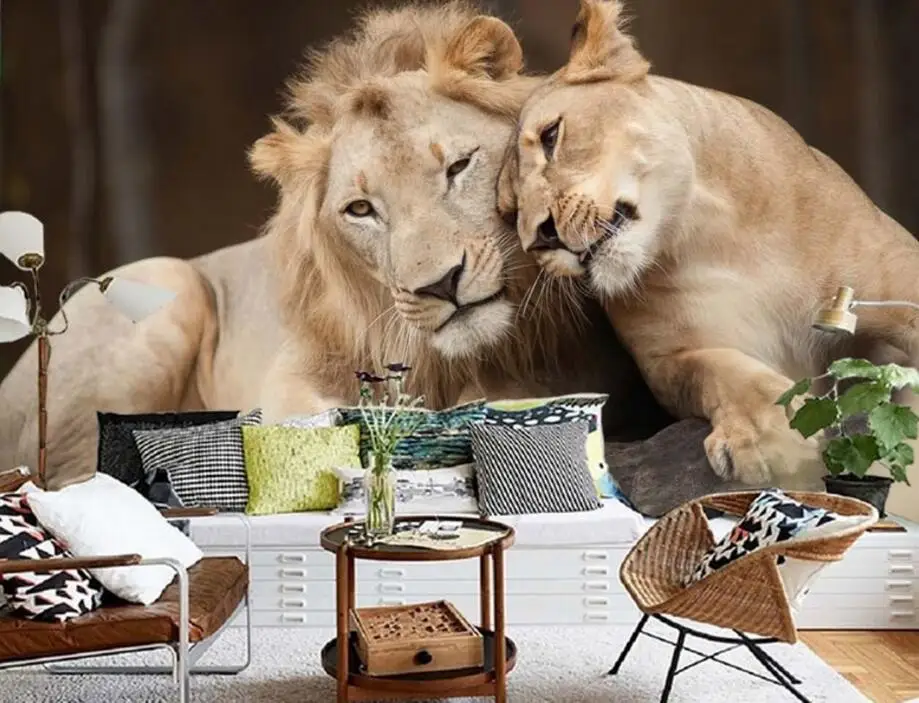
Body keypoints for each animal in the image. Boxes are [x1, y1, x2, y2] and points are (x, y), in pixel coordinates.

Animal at [498, 0, 919, 509]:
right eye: (509, 212)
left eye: (551, 136)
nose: (539, 239)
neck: (707, 234)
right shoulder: (671, 358)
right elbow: (718, 371)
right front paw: (769, 442)